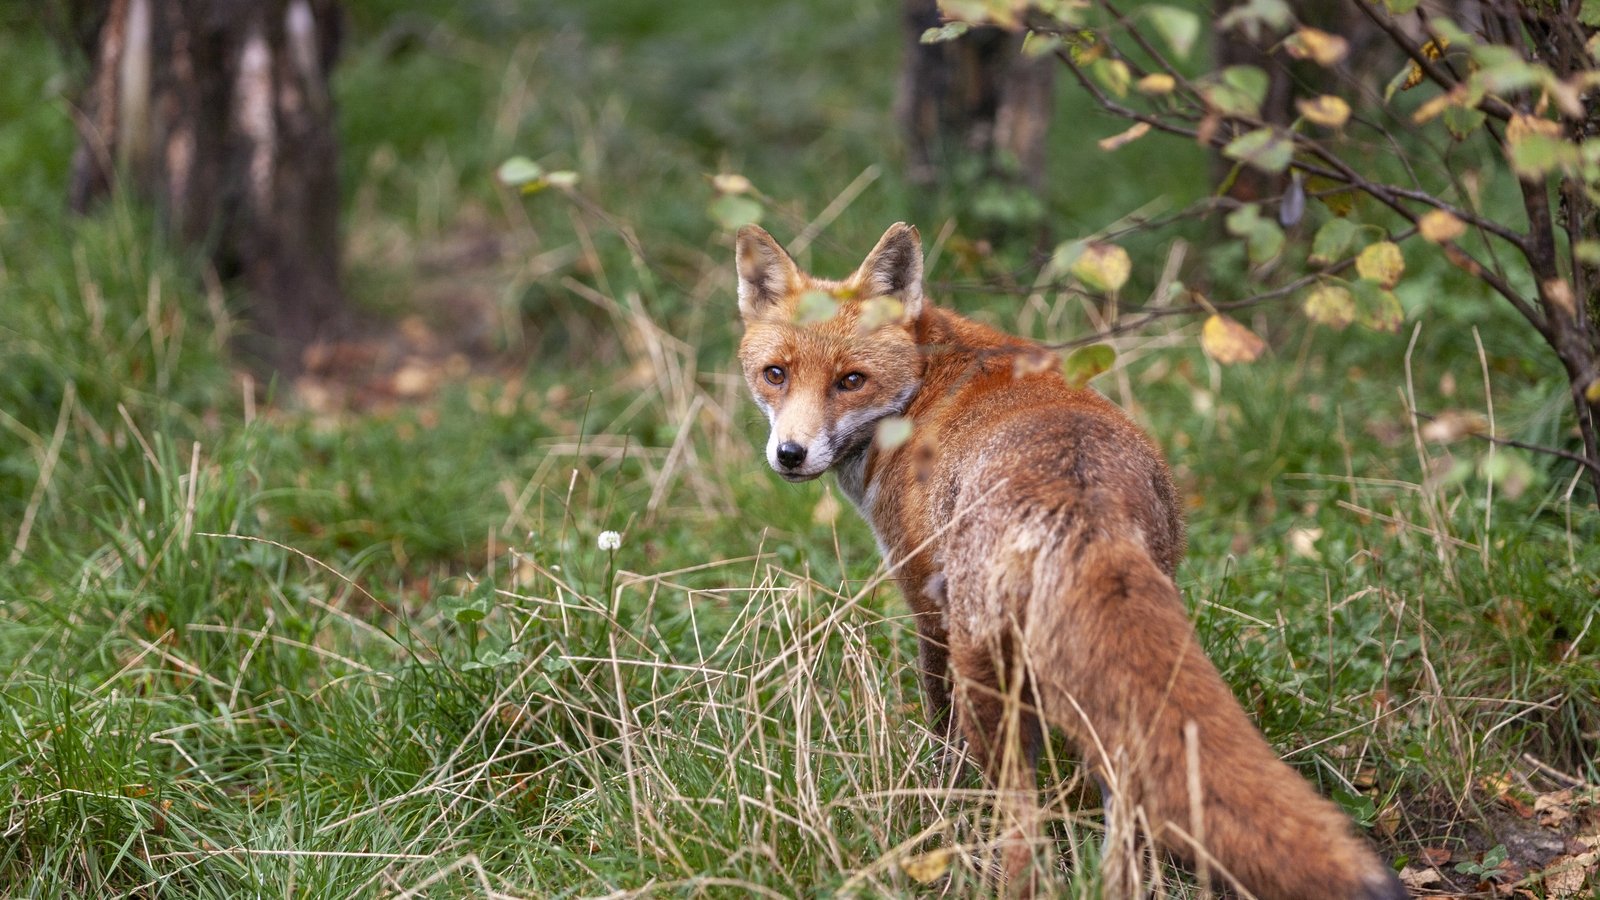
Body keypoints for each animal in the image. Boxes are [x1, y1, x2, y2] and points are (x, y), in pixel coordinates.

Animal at [734, 222, 1408, 899]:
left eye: (851, 380)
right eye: (775, 374)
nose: (790, 454)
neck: (922, 385)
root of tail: (1082, 499)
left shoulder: (926, 601)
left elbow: (939, 729)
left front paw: (934, 797)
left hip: (996, 690)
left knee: (1023, 827)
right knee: (1127, 815)